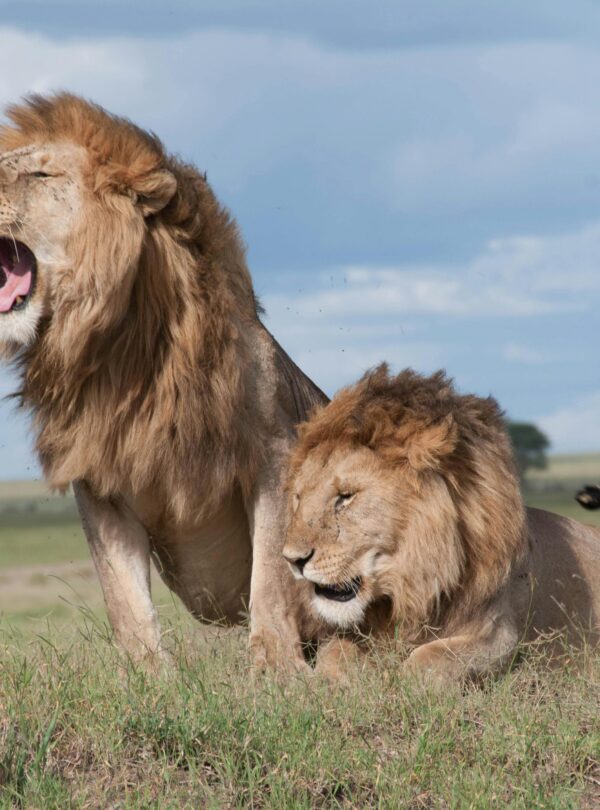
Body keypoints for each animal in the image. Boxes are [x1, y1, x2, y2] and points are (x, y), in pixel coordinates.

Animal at [0, 93, 327, 672]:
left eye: (40, 173)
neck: (122, 355)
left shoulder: (273, 454)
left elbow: (270, 577)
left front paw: (275, 670)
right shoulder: (99, 481)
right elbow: (124, 599)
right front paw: (149, 678)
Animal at [284, 365, 600, 681]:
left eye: (345, 497)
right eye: (298, 497)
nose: (291, 560)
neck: (414, 583)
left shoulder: (502, 636)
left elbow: (429, 657)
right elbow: (334, 653)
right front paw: (334, 682)